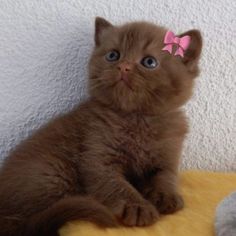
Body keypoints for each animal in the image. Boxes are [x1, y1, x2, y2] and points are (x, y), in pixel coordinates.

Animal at [0, 17, 203, 236]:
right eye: (113, 55)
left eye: (149, 62)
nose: (123, 67)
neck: (137, 119)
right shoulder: (97, 157)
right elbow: (118, 185)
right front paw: (138, 207)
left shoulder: (168, 156)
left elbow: (167, 176)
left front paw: (166, 196)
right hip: (53, 175)